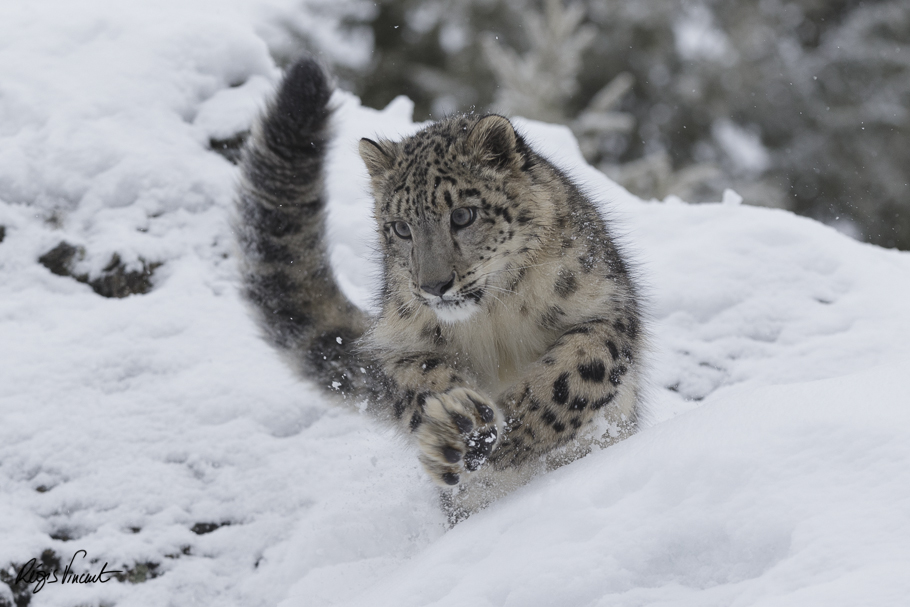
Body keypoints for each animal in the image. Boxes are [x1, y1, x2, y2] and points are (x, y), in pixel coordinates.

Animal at [233, 57, 645, 522]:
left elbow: (575, 372)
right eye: (401, 228)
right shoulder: (398, 341)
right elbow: (422, 378)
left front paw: (512, 432)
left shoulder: (607, 307)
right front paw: (463, 427)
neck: (494, 318)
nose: (434, 285)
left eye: (463, 215)